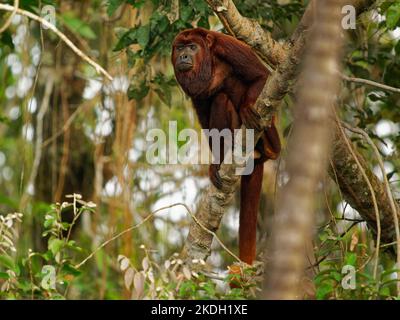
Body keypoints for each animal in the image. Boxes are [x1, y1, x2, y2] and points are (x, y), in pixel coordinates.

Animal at [172, 27, 282, 264]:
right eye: (180, 48)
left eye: (192, 47)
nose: (183, 57)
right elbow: (205, 116)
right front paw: (214, 163)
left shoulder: (228, 46)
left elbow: (261, 75)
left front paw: (248, 107)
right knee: (219, 100)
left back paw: (270, 146)